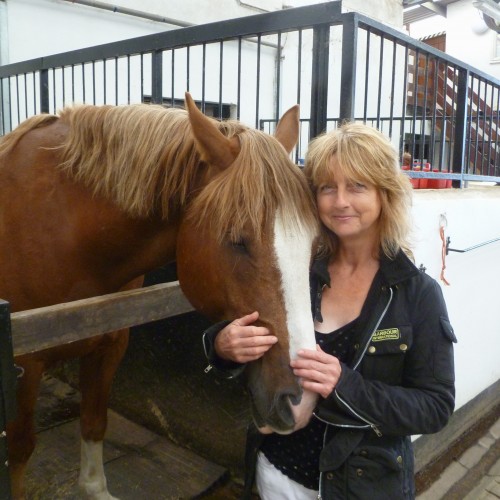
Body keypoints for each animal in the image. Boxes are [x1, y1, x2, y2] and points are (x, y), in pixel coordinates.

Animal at [0, 94, 320, 500]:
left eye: (314, 242)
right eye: (237, 240)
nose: (300, 400)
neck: (61, 230)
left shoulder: (109, 343)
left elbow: (94, 420)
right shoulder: (24, 367)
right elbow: (19, 450)